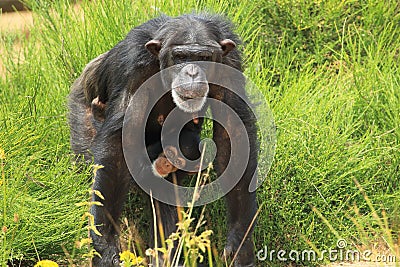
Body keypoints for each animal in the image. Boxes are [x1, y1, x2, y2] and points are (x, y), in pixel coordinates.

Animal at [69, 13, 258, 267]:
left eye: (203, 58)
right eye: (181, 57)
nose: (191, 71)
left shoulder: (230, 65)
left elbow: (232, 135)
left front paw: (241, 243)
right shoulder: (133, 67)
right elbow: (118, 147)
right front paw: (105, 248)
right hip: (81, 107)